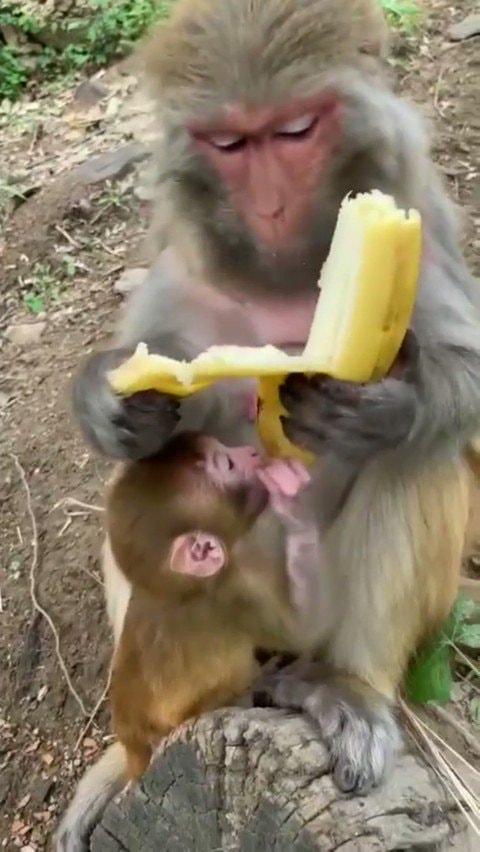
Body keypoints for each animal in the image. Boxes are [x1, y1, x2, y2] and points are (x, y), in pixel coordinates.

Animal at [55, 433, 322, 850]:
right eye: (226, 464)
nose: (250, 451)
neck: (175, 591)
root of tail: (135, 754)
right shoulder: (237, 591)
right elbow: (303, 626)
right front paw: (291, 493)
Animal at [71, 0, 480, 802]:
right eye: (230, 143)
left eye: (294, 131)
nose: (270, 205)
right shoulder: (180, 266)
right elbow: (157, 419)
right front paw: (110, 401)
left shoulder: (420, 220)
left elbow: (469, 383)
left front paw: (385, 407)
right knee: (136, 491)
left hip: (316, 616)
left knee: (420, 461)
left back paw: (347, 687)